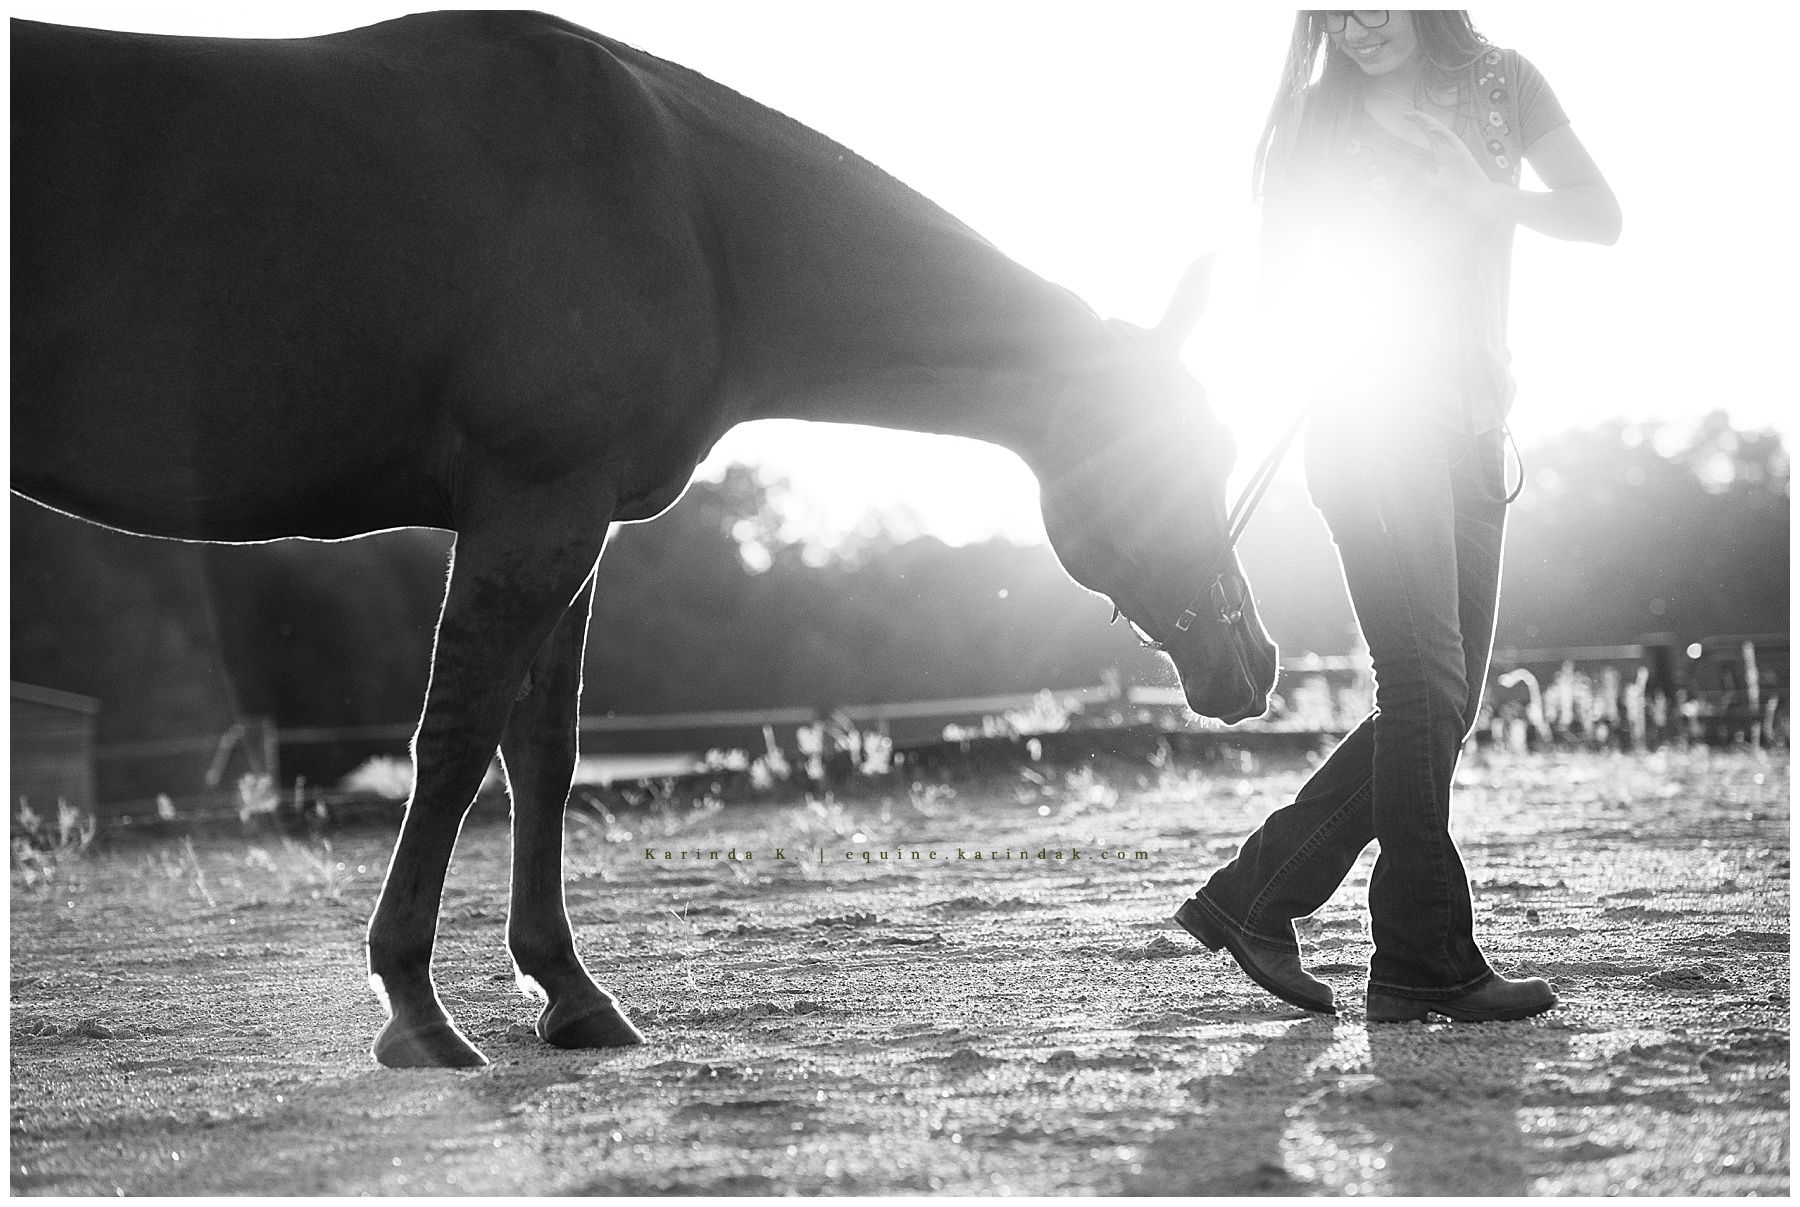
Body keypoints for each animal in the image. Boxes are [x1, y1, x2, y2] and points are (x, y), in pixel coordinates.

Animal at [11, 11, 1279, 1068]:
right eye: (1182, 452)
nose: (1254, 662)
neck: (685, 199)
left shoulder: (570, 527)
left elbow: (543, 755)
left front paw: (568, 991)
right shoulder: (537, 508)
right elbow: (456, 746)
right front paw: (417, 1006)